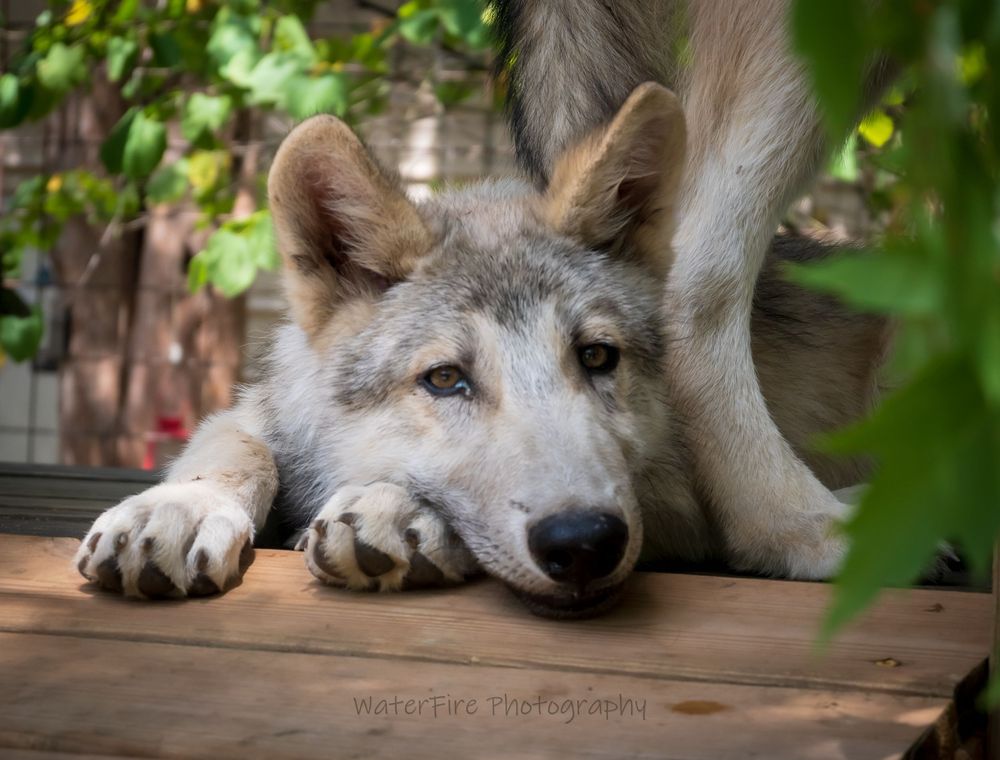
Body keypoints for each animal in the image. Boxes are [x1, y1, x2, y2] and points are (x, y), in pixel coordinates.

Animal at [74, 1, 887, 617]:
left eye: (597, 358)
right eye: (444, 379)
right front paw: (172, 510)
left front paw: (397, 513)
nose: (583, 543)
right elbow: (232, 448)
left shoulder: (666, 498)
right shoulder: (256, 412)